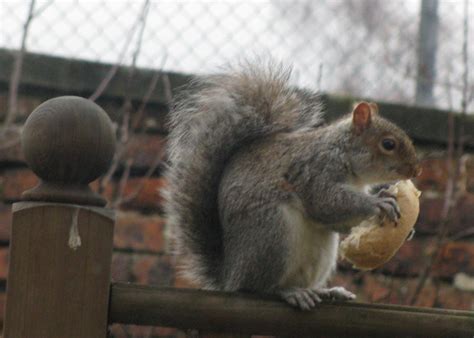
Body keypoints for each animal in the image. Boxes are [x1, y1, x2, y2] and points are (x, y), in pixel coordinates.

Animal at [164, 62, 422, 310]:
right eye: (388, 144)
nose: (416, 170)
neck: (342, 152)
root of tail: (231, 274)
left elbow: (334, 220)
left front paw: (397, 211)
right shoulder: (316, 171)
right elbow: (327, 203)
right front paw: (378, 203)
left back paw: (326, 292)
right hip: (272, 233)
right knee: (259, 288)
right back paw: (288, 292)